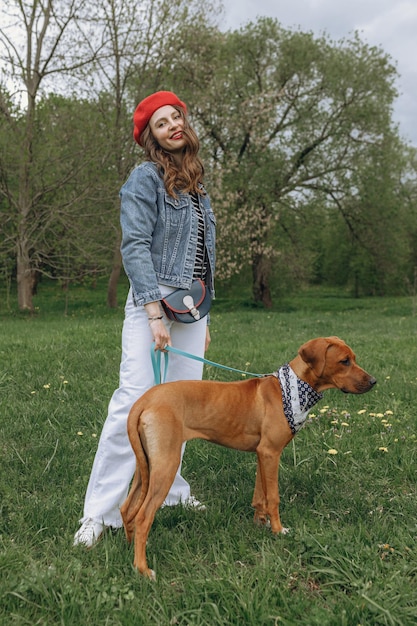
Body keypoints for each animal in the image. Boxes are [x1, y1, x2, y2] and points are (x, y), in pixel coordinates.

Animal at [119, 336, 374, 576]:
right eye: (344, 361)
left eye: (354, 358)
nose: (374, 382)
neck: (289, 391)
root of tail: (144, 400)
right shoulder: (271, 452)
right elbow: (274, 497)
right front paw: (278, 530)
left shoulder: (262, 454)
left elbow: (260, 494)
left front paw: (260, 523)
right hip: (166, 465)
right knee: (142, 517)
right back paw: (143, 568)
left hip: (147, 465)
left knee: (126, 509)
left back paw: (131, 549)